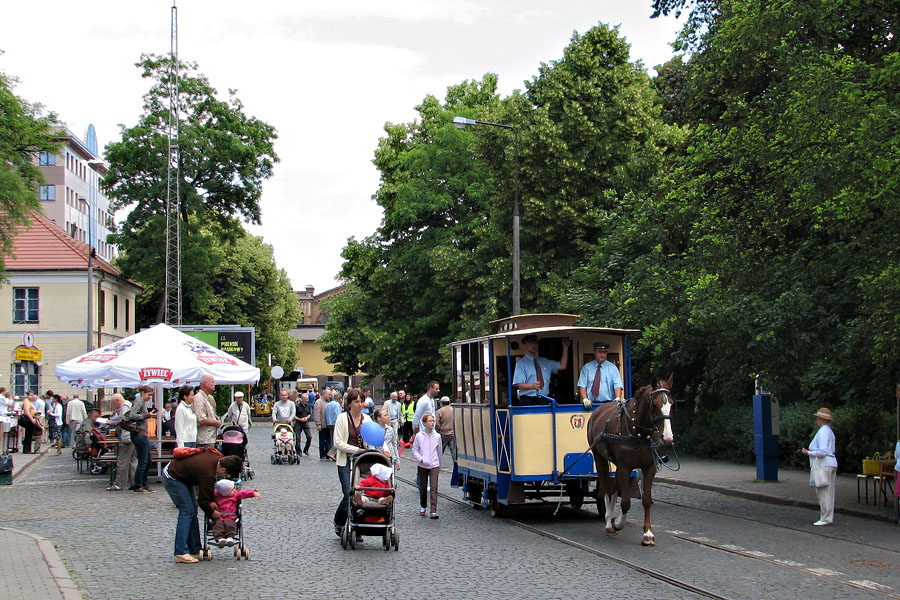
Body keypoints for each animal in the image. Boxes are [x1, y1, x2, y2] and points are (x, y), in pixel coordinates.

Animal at [584, 378, 676, 548]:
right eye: (654, 404)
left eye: (672, 404)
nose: (667, 437)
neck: (638, 431)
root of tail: (599, 410)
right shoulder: (625, 467)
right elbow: (626, 502)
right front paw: (618, 524)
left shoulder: (649, 468)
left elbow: (646, 500)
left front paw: (648, 533)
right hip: (599, 457)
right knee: (605, 485)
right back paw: (609, 523)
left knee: (613, 486)